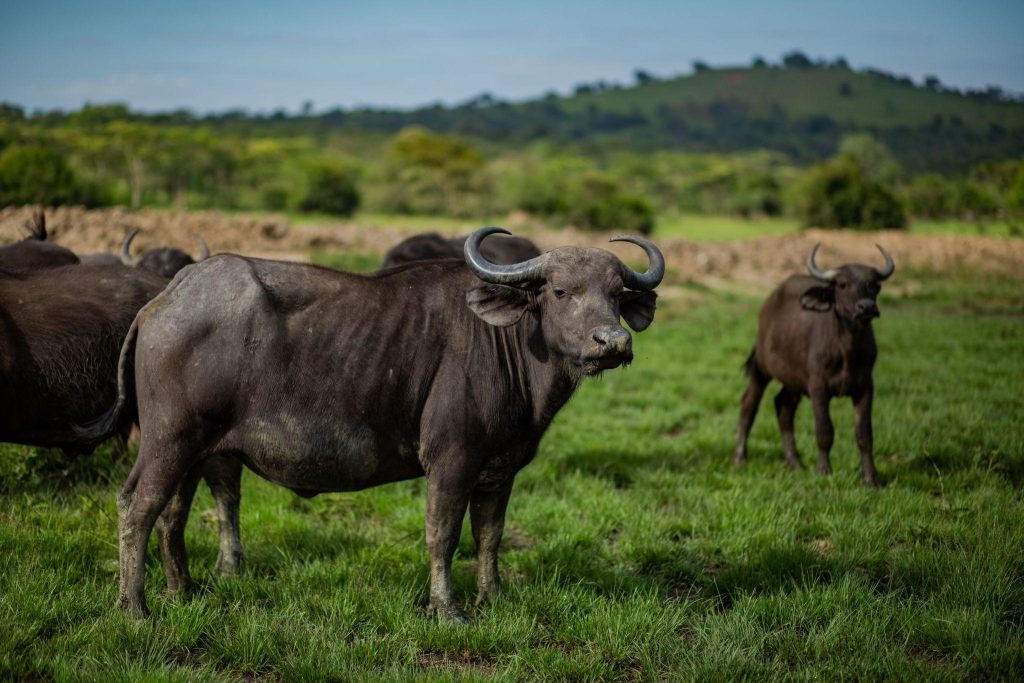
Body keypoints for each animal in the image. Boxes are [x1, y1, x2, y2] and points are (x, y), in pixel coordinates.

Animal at [79, 227, 663, 622]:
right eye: (561, 291)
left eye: (616, 294)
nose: (613, 342)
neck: (509, 345)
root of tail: (163, 300)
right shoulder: (451, 461)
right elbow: (443, 535)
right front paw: (448, 609)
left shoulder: (500, 470)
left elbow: (490, 535)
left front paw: (493, 597)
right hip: (167, 441)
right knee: (137, 506)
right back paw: (135, 608)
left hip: (196, 450)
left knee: (172, 514)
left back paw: (183, 592)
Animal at [733, 242, 892, 489]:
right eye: (842, 284)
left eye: (874, 285)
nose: (866, 307)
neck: (847, 349)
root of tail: (768, 302)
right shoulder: (818, 386)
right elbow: (824, 430)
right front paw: (824, 470)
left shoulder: (866, 386)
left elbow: (864, 434)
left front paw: (870, 478)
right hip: (761, 368)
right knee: (749, 404)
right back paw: (740, 457)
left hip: (793, 379)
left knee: (783, 407)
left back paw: (794, 461)